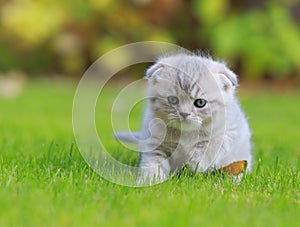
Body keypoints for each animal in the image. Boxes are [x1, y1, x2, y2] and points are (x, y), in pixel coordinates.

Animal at [114, 53, 251, 184]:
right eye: (173, 100)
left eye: (200, 103)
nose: (184, 113)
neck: (186, 133)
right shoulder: (155, 141)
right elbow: (153, 162)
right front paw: (151, 180)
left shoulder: (230, 131)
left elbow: (210, 146)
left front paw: (194, 166)